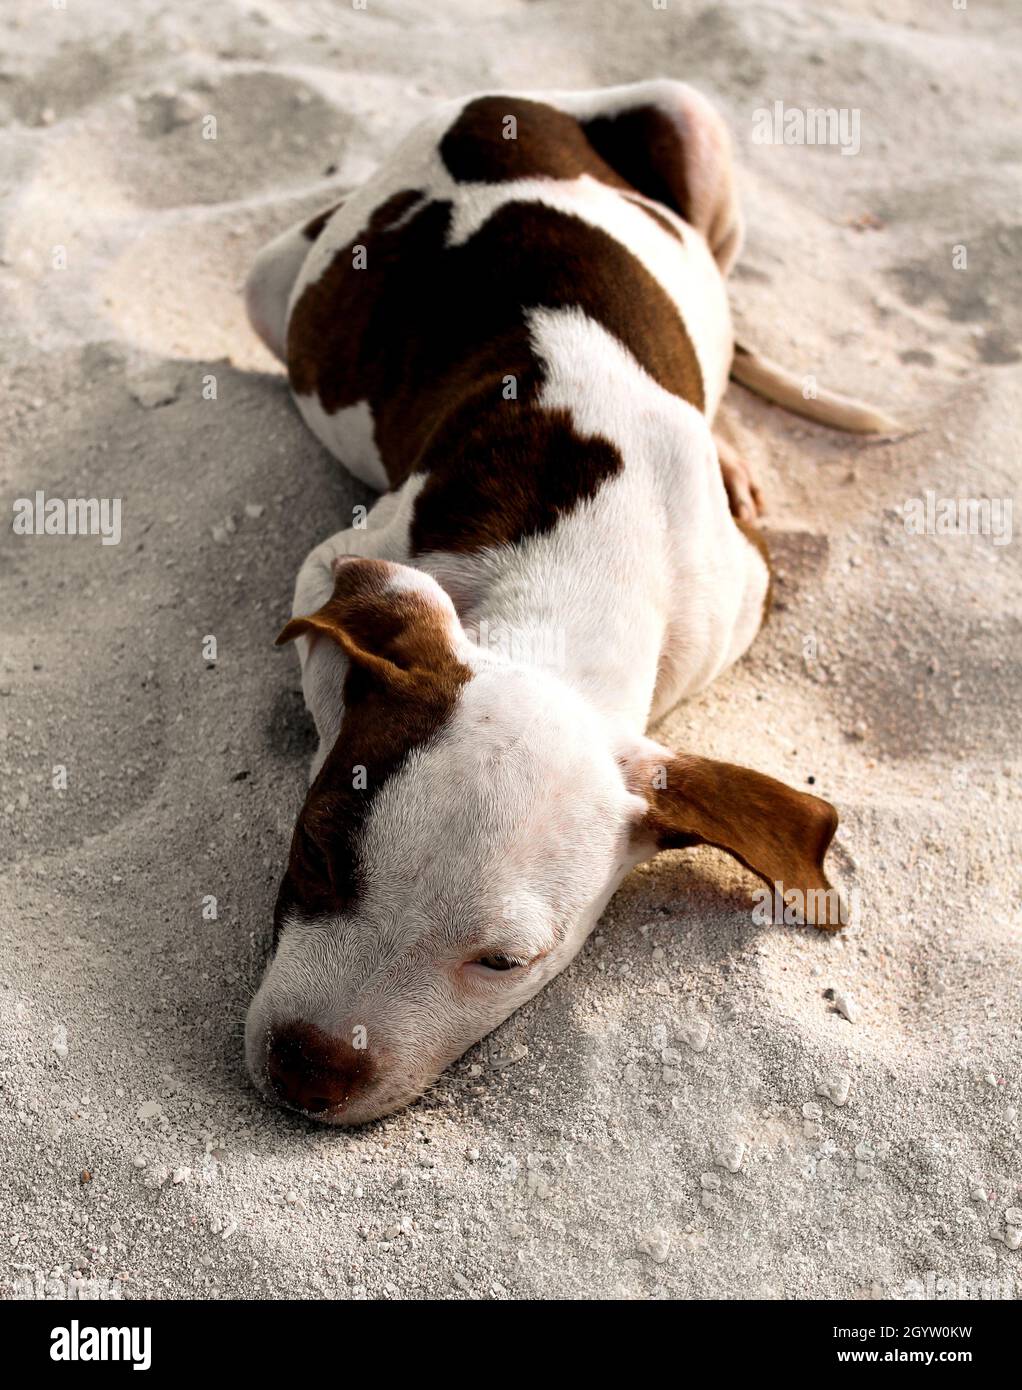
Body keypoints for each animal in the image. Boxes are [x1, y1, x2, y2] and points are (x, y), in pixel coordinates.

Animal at [243, 78, 862, 1128]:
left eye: (503, 962)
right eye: (316, 854)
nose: (304, 1071)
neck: (583, 579)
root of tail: (506, 101)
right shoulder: (348, 562)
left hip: (691, 120)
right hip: (269, 281)